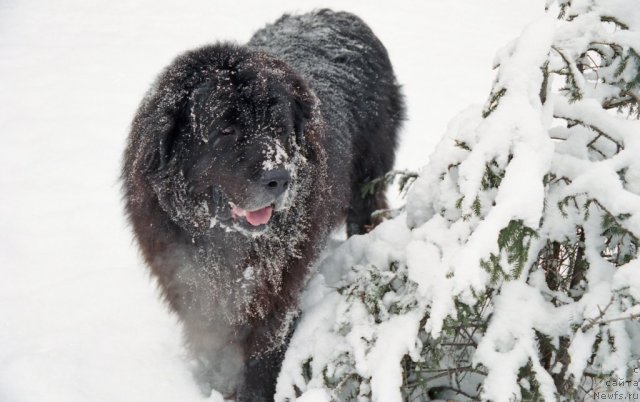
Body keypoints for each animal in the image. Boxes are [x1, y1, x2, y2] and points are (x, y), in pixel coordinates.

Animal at [122, 9, 402, 402]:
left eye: (279, 126)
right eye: (226, 130)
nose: (280, 178)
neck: (224, 243)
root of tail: (342, 14)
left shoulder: (276, 291)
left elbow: (262, 354)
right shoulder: (182, 273)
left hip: (368, 180)